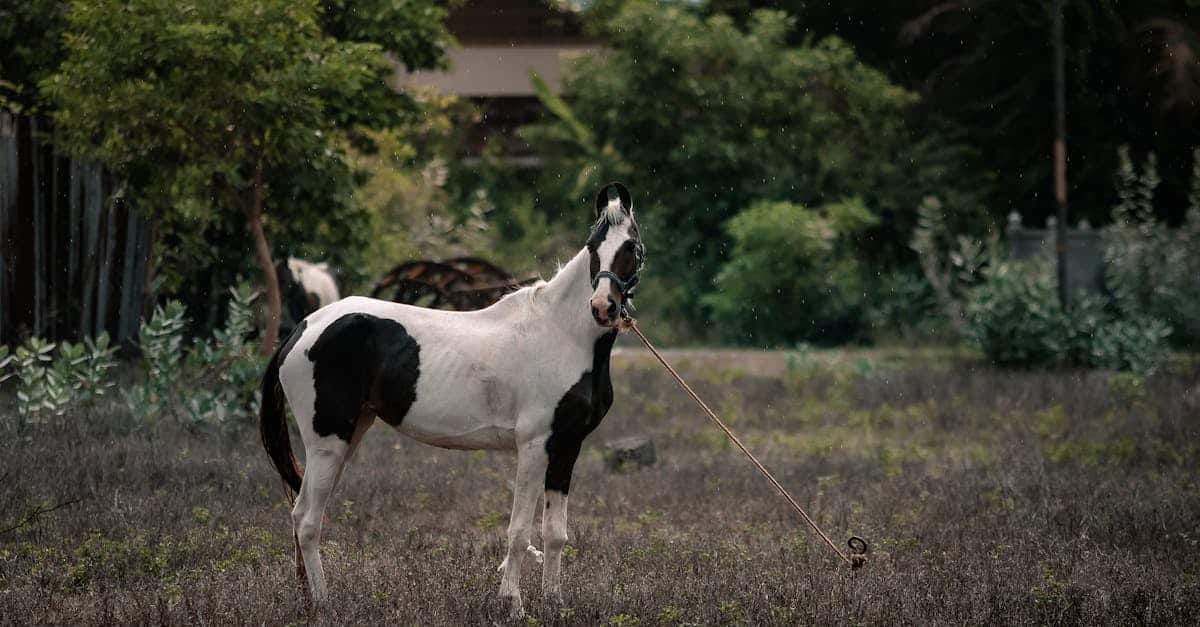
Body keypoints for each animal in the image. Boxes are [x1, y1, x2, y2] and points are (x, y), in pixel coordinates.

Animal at [259, 182, 645, 616]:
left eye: (631, 246)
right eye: (592, 246)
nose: (602, 307)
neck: (563, 334)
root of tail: (303, 328)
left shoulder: (567, 447)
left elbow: (555, 533)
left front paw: (553, 602)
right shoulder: (534, 446)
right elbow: (518, 531)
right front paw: (513, 604)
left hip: (346, 436)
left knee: (300, 513)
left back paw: (310, 598)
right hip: (327, 442)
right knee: (308, 520)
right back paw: (326, 604)